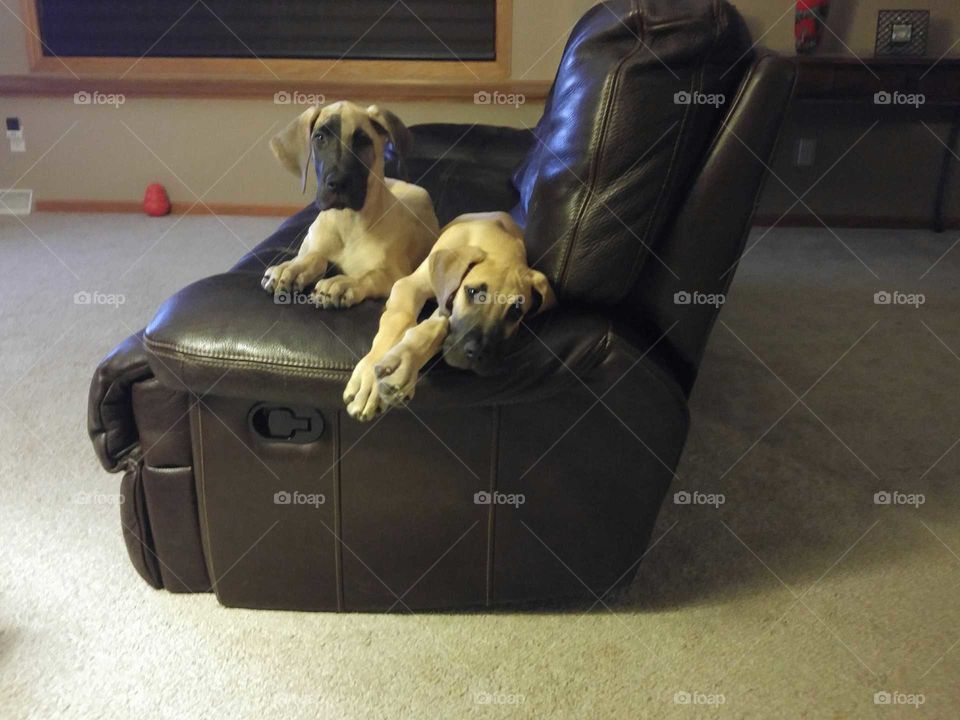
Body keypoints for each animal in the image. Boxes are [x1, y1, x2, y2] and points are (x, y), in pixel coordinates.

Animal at [264, 100, 440, 308]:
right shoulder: (314, 247)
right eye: (320, 137)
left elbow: (370, 275)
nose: (338, 183)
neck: (346, 223)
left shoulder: (396, 274)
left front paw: (343, 282)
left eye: (362, 140)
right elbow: (314, 256)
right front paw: (292, 268)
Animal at [344, 211, 556, 420]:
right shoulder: (410, 286)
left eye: (515, 311)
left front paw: (405, 364)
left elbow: (437, 326)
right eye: (472, 291)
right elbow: (400, 320)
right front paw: (370, 380)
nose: (477, 353)